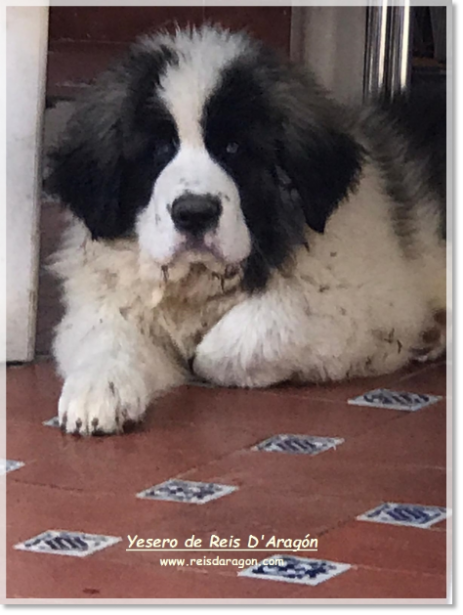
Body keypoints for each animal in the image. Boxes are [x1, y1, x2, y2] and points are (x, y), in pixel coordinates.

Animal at [46, 26, 446, 436]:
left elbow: (243, 334)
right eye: (159, 148)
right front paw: (97, 389)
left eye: (233, 147)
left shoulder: (364, 302)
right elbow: (105, 335)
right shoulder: (109, 298)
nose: (194, 214)